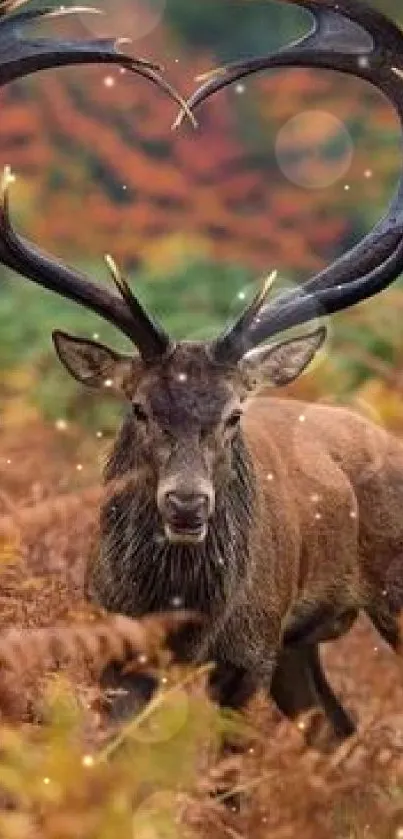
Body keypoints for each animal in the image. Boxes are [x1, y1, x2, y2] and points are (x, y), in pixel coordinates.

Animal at [1, 0, 403, 744]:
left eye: (234, 414)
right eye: (138, 407)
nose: (187, 504)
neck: (182, 617)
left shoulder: (247, 654)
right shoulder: (111, 647)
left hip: (374, 597)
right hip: (298, 645)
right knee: (335, 726)